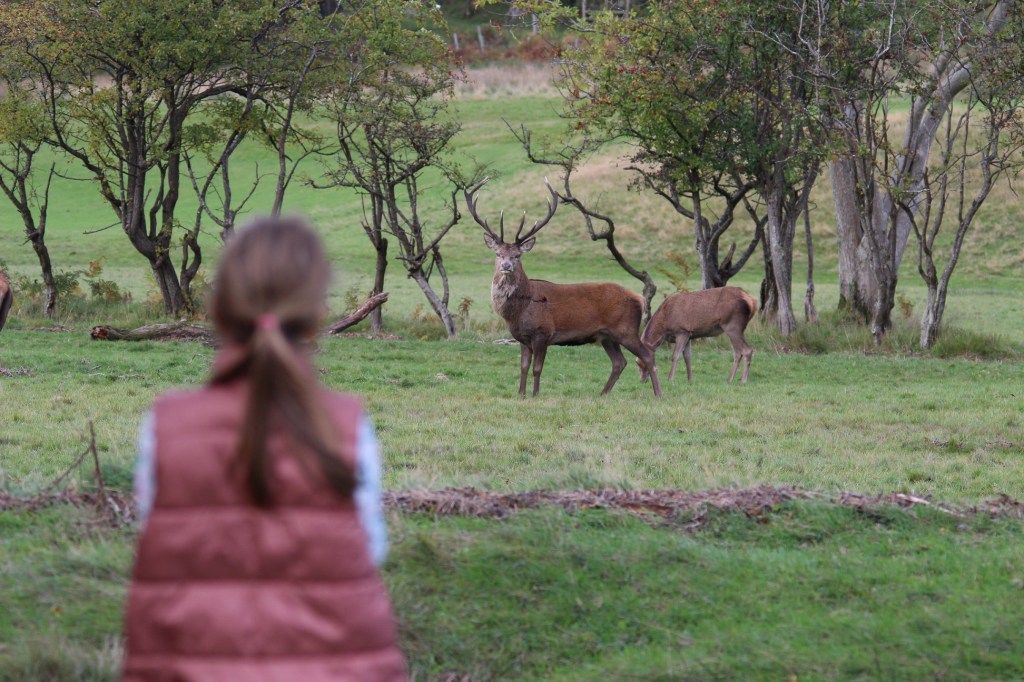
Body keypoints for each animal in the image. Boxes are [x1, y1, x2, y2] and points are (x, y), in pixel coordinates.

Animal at [465, 179, 662, 398]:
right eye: (498, 254)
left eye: (517, 255)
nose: (506, 265)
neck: (519, 311)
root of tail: (639, 298)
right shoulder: (523, 338)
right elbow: (523, 367)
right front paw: (521, 394)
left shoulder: (543, 333)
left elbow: (537, 368)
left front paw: (535, 395)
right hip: (607, 336)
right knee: (620, 362)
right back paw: (602, 395)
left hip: (626, 329)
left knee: (647, 355)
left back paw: (658, 394)